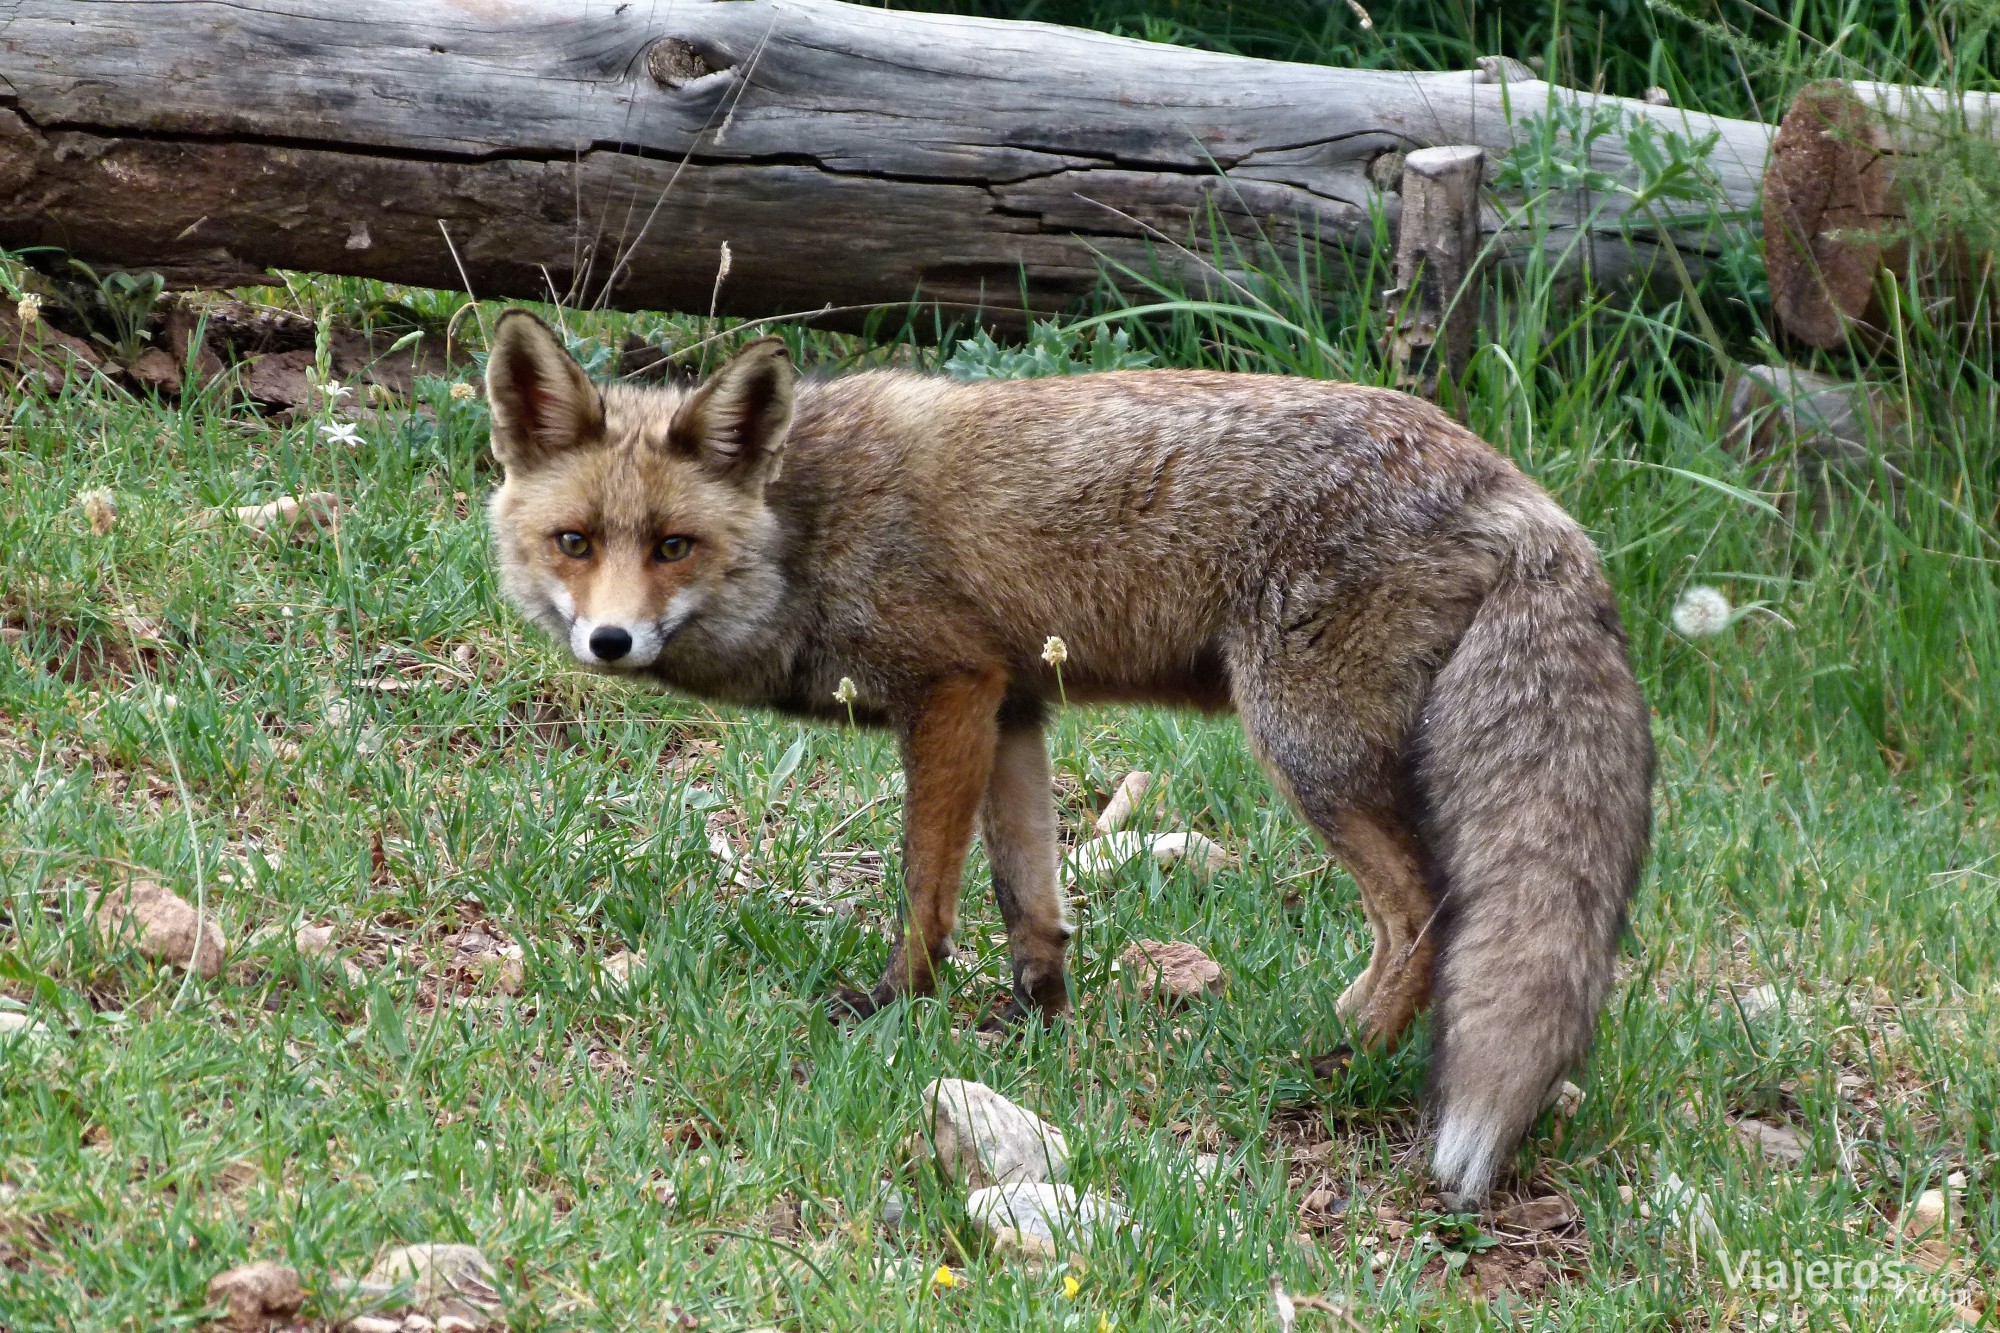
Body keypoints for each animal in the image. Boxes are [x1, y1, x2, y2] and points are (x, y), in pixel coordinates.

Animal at [484, 306, 1656, 1200]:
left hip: (1305, 748)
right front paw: (1034, 1016)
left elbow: (926, 886)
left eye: (673, 546)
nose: (609, 641)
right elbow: (1027, 896)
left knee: (1426, 912)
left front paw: (894, 1007)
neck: (805, 528)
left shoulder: (950, 691)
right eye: (574, 542)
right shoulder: (1012, 713)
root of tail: (1525, 493)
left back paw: (1339, 1064)